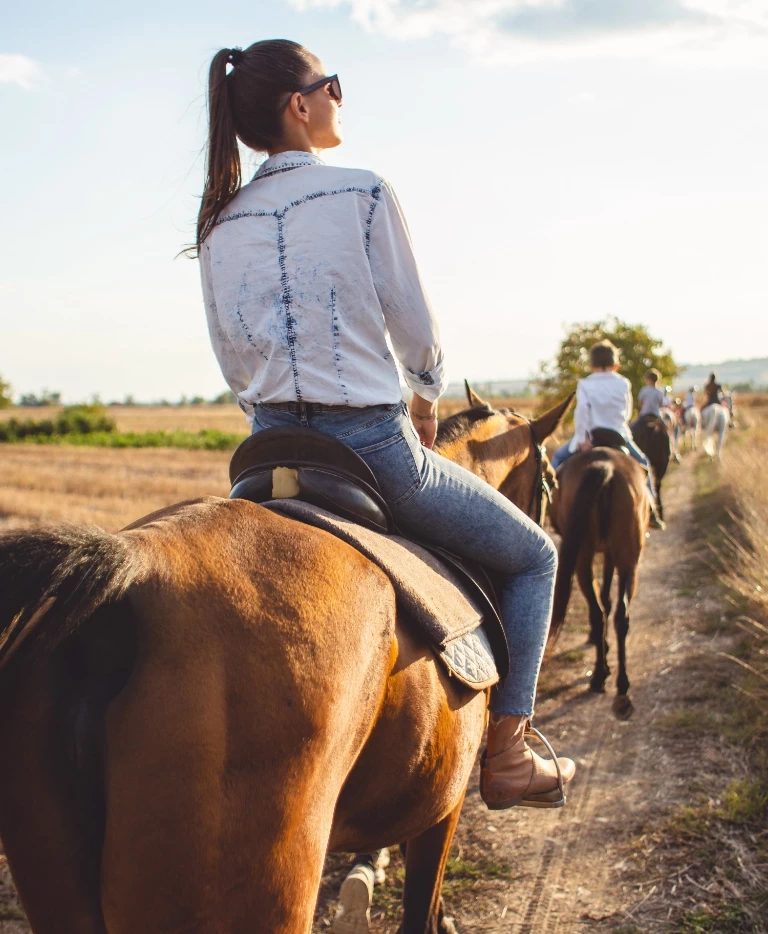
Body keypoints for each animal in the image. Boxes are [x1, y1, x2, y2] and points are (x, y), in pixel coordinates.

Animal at [548, 442, 652, 720]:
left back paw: (604, 677)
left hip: (590, 557)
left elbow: (604, 597)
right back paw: (613, 682)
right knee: (615, 614)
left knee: (603, 612)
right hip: (625, 560)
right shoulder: (609, 555)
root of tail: (607, 467)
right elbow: (606, 596)